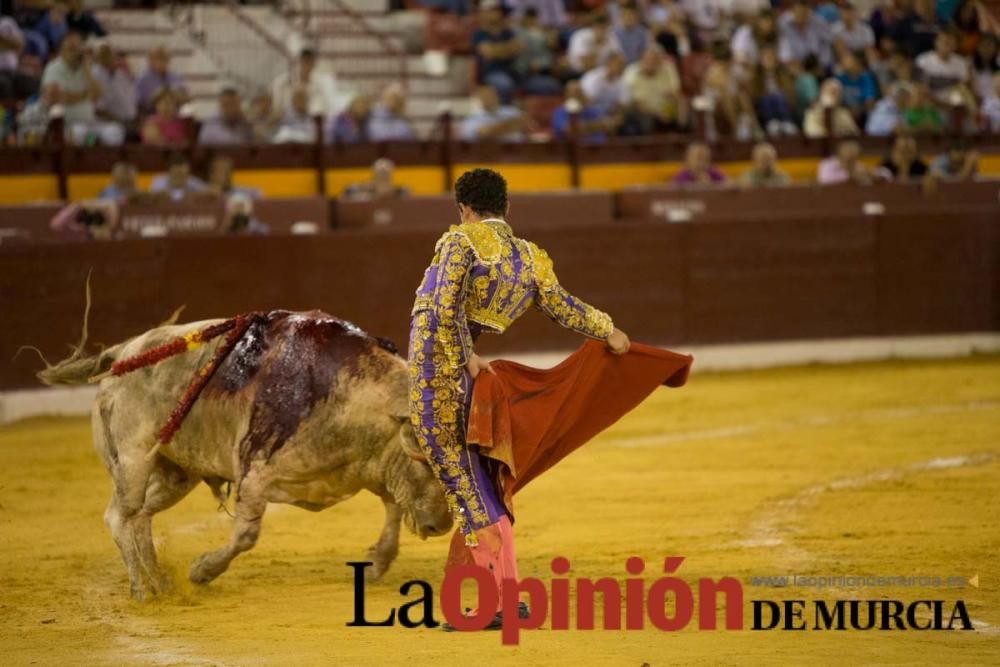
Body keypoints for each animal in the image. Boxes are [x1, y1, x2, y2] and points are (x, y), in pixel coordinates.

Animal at [38, 310, 454, 604]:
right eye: (433, 468)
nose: (442, 525)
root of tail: (122, 354)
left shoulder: (371, 468)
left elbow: (393, 510)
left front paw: (376, 562)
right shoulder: (254, 473)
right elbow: (247, 534)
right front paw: (202, 571)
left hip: (176, 474)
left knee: (140, 517)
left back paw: (160, 583)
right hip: (132, 459)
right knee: (120, 516)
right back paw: (142, 589)